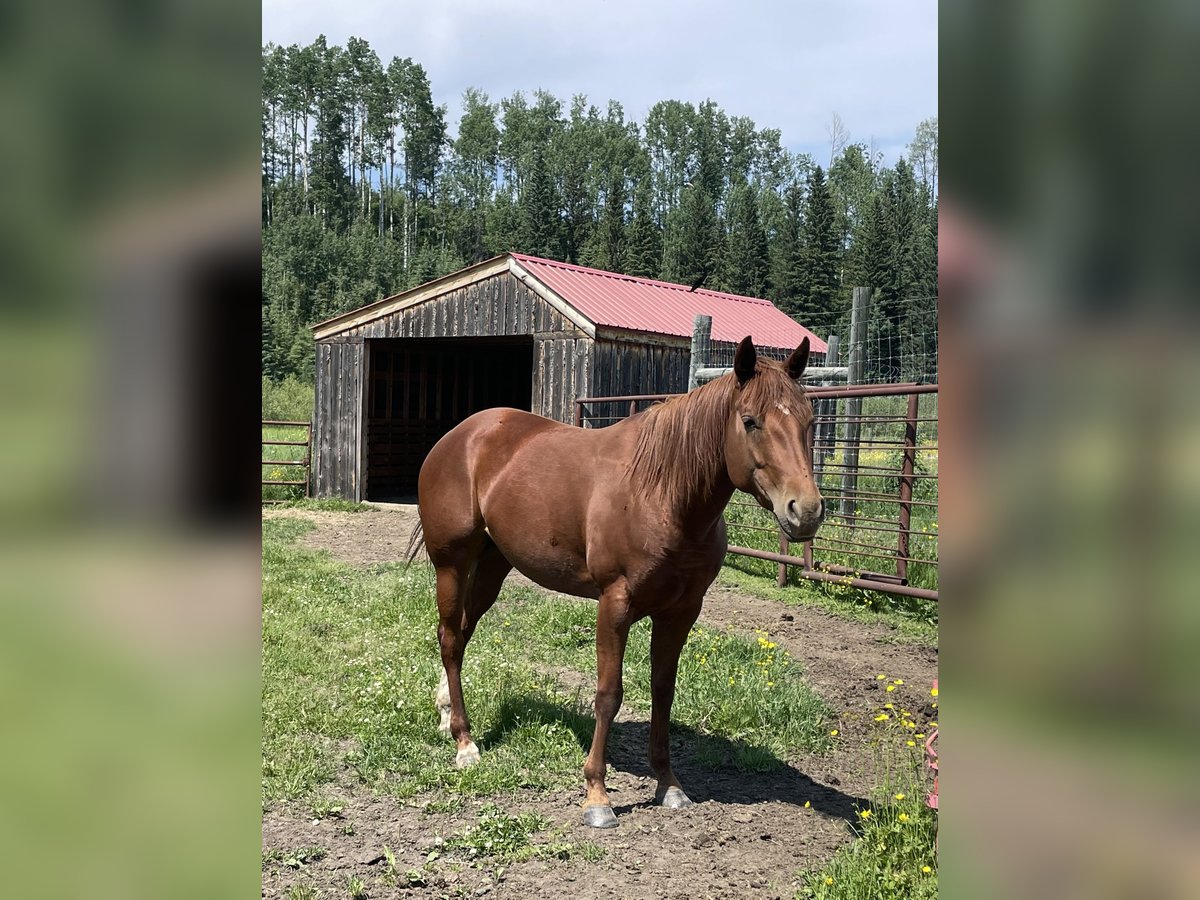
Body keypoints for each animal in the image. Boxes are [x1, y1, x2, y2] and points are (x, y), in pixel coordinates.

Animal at [408, 336, 820, 830]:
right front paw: (597, 796)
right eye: (750, 421)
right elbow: (609, 694)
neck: (661, 492)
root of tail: (459, 436)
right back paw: (465, 741)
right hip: (452, 564)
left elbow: (663, 690)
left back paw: (445, 713)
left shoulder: (682, 611)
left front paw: (668, 784)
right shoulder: (615, 603)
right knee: (450, 637)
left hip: (493, 565)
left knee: (462, 631)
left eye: (809, 421)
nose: (806, 511)